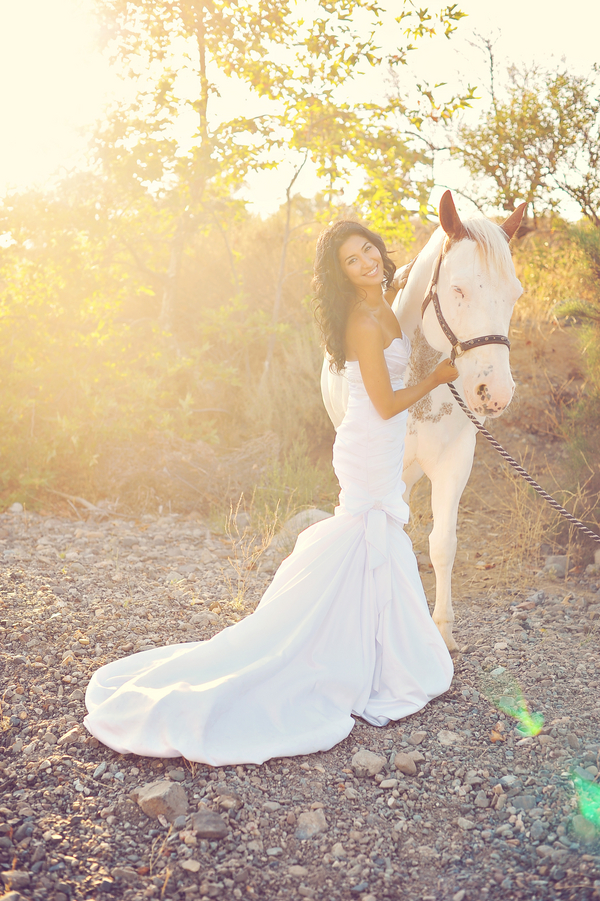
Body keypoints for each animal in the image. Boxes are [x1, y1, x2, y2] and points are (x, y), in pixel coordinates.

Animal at [324, 193, 524, 652]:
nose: (495, 393)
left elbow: (443, 544)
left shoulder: (455, 463)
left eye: (514, 294)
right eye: (458, 290)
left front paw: (443, 632)